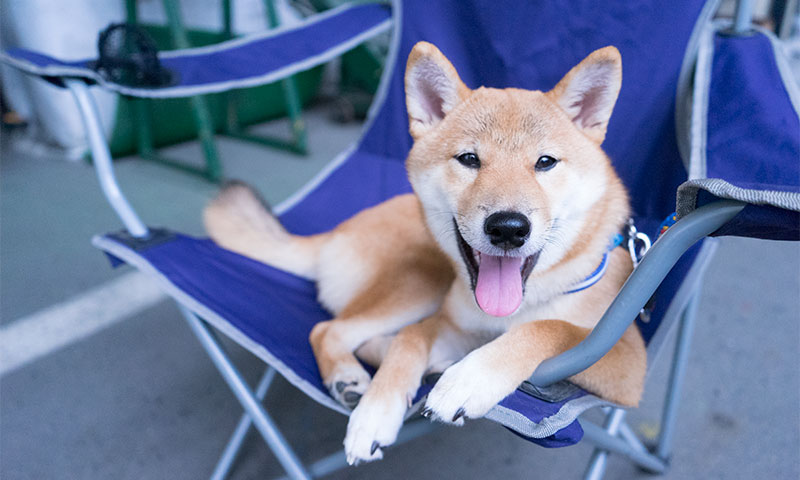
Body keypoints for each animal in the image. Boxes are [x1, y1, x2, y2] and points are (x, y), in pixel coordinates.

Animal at [205, 41, 644, 464]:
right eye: (469, 159)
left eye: (545, 162)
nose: (508, 228)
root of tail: (337, 230)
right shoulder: (451, 322)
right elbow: (411, 338)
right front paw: (374, 413)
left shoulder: (625, 360)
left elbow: (548, 328)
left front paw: (471, 378)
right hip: (420, 280)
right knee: (330, 329)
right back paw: (352, 373)